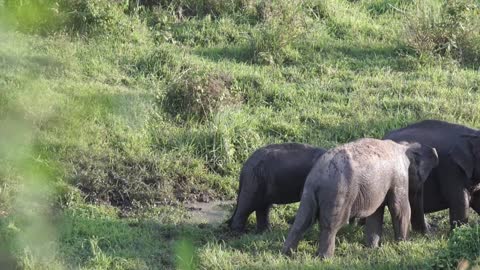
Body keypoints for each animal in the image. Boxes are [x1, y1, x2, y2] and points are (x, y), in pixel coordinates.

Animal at [282, 138, 438, 258]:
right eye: (421, 179)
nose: (428, 234)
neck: (403, 146)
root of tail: (319, 176)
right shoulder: (399, 177)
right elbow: (400, 209)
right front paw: (403, 245)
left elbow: (376, 213)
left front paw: (373, 248)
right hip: (339, 192)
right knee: (331, 225)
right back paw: (325, 258)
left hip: (309, 191)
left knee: (302, 220)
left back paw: (287, 254)